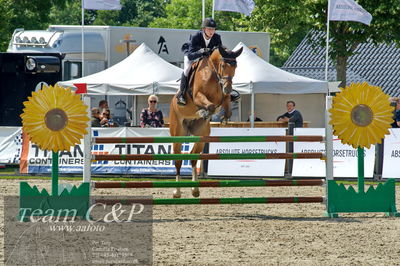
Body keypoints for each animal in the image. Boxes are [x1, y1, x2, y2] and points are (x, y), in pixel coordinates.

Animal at [170, 46, 244, 197]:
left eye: (235, 66)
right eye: (223, 65)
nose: (228, 88)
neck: (214, 75)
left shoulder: (223, 97)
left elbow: (226, 106)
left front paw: (224, 119)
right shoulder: (198, 96)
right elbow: (209, 106)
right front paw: (204, 112)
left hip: (201, 135)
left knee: (193, 157)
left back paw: (195, 190)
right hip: (178, 133)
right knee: (178, 160)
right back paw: (177, 192)